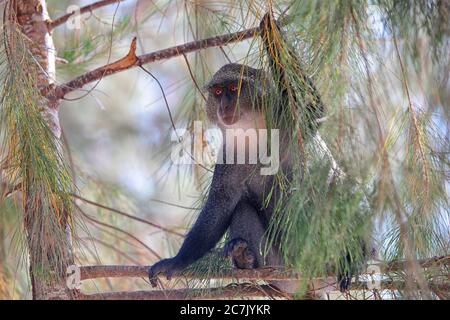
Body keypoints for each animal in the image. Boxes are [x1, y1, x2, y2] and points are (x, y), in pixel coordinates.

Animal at [149, 12, 368, 294]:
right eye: (218, 92)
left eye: (234, 89)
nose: (224, 106)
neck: (254, 133)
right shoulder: (228, 157)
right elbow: (221, 205)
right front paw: (175, 262)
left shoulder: (291, 120)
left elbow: (312, 105)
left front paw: (269, 31)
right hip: (277, 261)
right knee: (243, 207)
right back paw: (246, 258)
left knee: (338, 190)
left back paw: (352, 259)